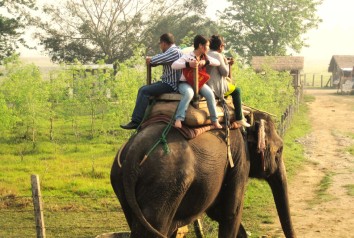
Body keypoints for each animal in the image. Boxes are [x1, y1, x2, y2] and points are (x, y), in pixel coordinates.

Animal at [110, 110, 296, 237]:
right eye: (279, 150)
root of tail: (134, 152)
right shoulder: (240, 159)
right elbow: (231, 212)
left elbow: (218, 212)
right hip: (163, 184)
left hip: (121, 183)